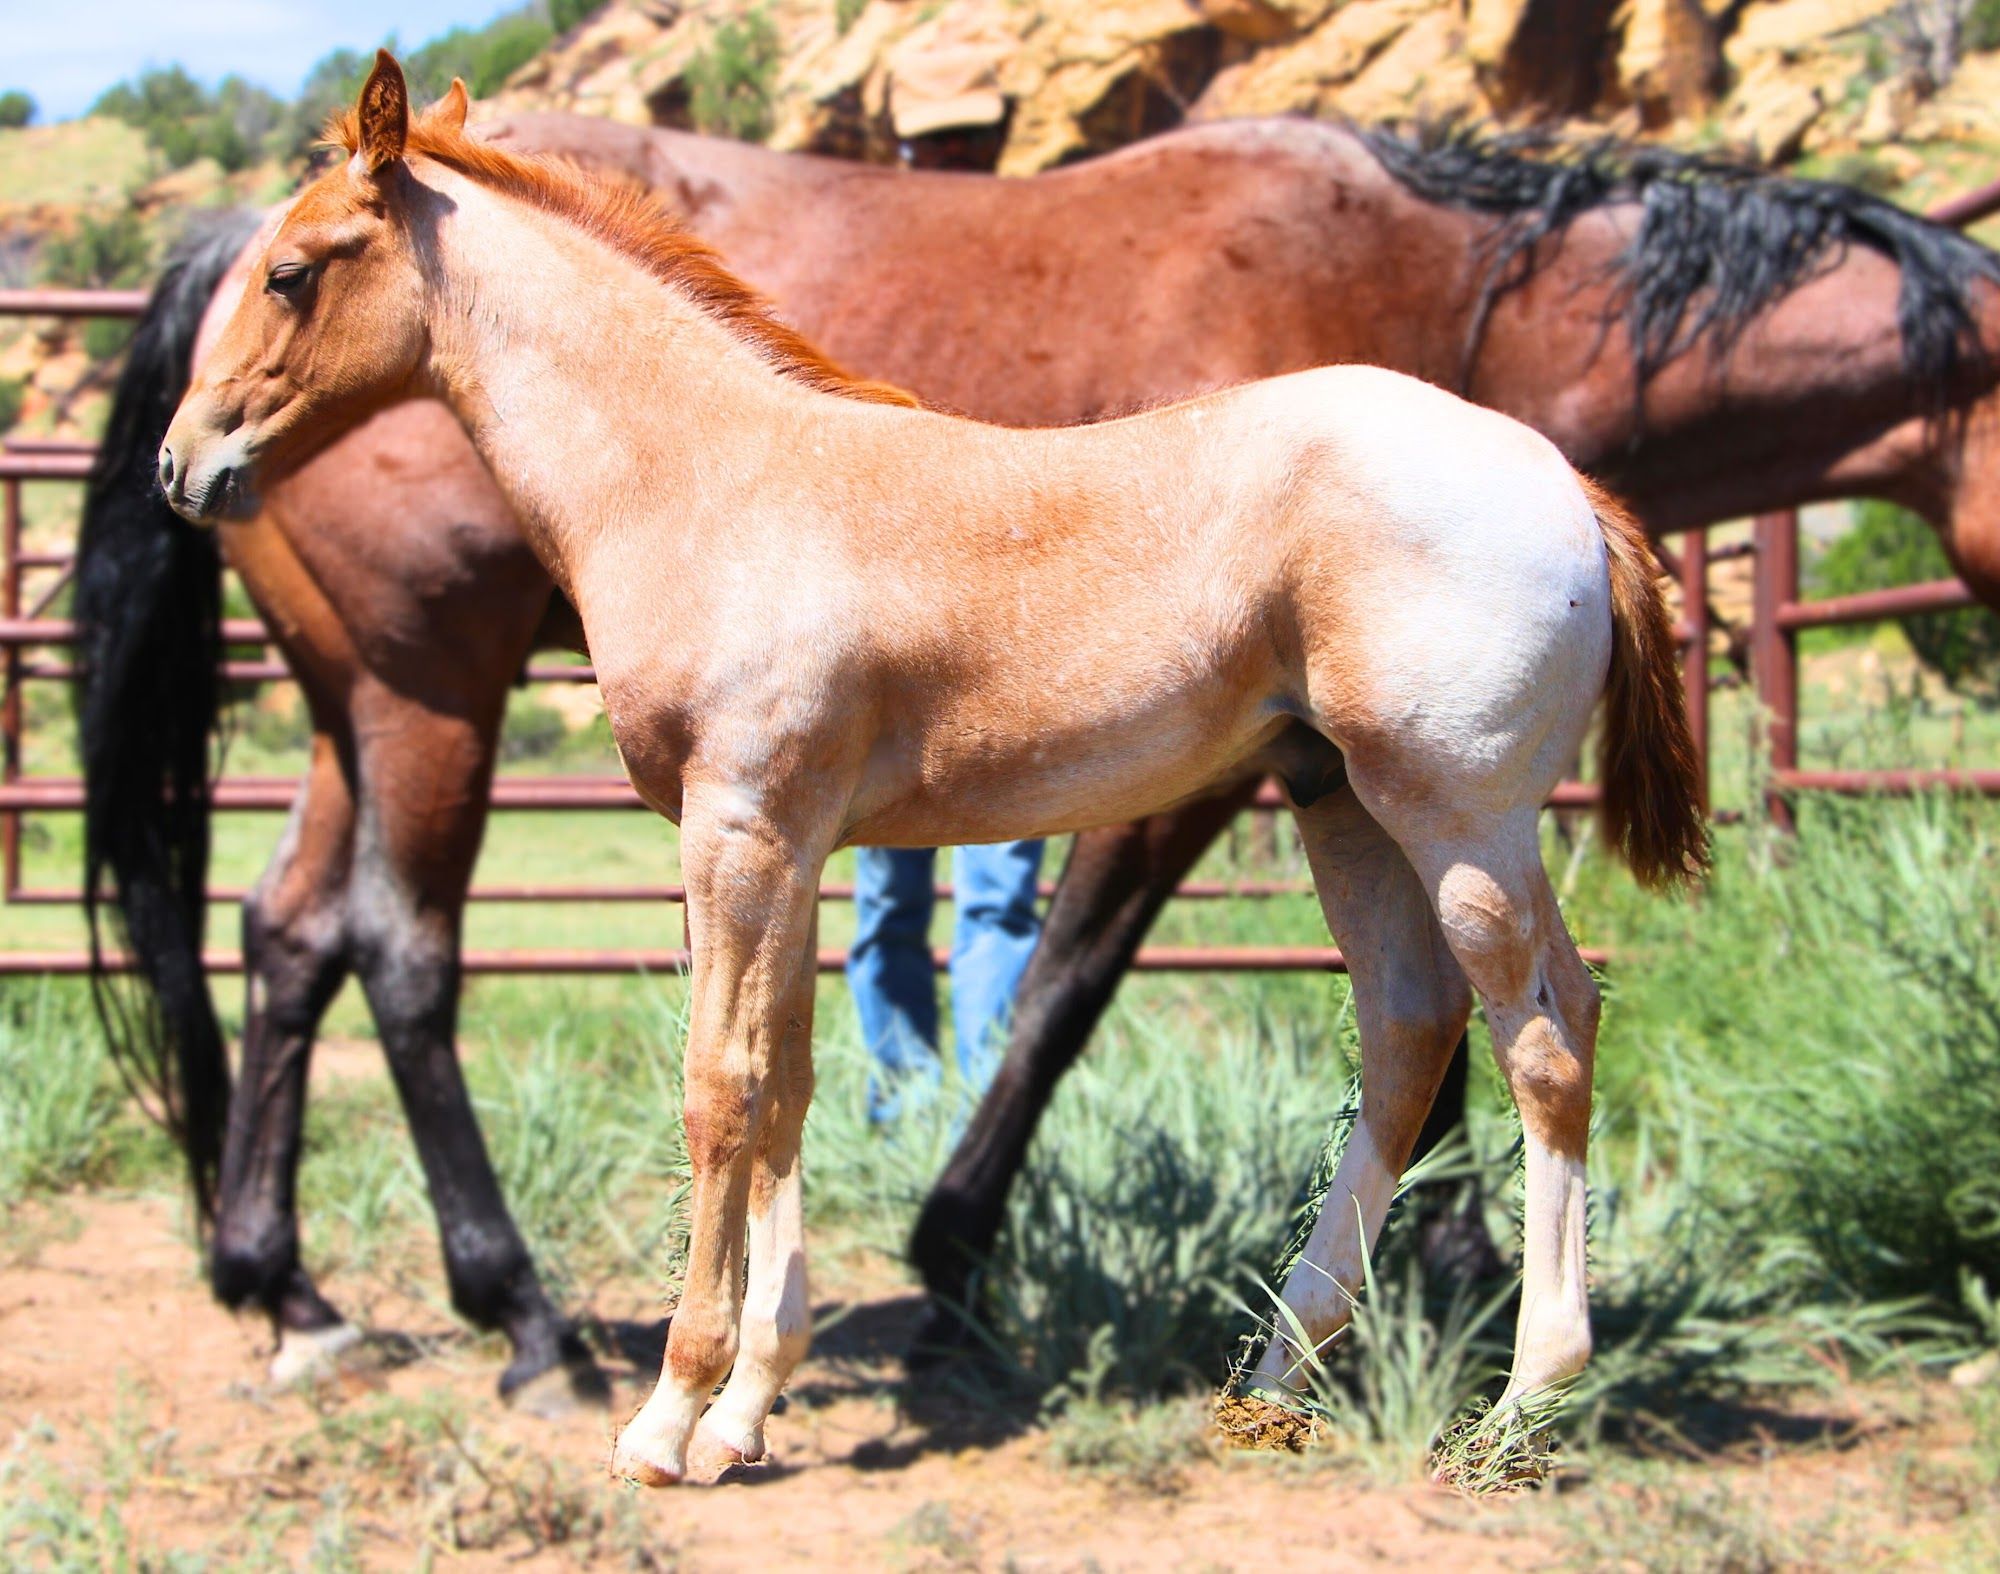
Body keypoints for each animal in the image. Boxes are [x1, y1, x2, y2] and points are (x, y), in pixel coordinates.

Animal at [78, 99, 2000, 1407]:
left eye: (300, 274)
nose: (191, 458)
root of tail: (1551, 476)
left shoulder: (779, 821)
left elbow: (882, 1039)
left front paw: (790, 1353)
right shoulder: (774, 827)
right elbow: (790, 1072)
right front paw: (782, 1369)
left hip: (1435, 809)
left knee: (1534, 1028)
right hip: (420, 688)